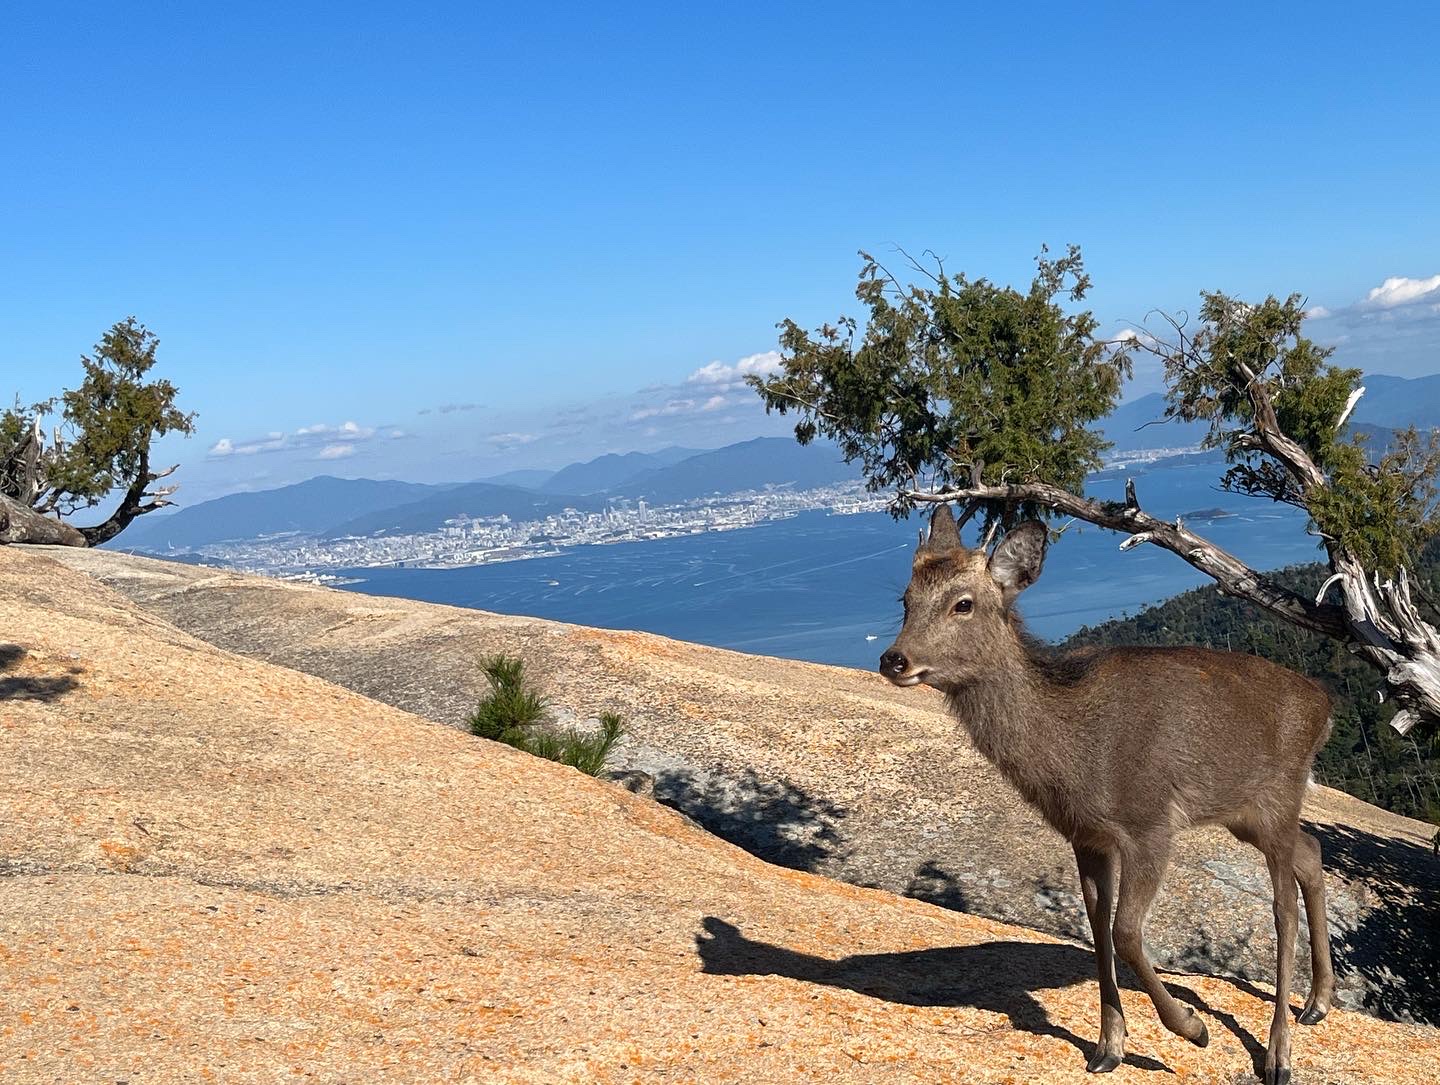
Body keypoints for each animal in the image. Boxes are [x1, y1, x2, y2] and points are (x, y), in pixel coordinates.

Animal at [875, 507, 1336, 1083]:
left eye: (964, 603)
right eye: (905, 599)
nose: (895, 659)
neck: (1075, 762)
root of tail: (1326, 707)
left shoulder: (1149, 823)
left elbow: (1127, 932)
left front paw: (1192, 1029)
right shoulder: (1086, 836)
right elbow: (1097, 929)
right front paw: (1107, 1048)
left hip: (1278, 796)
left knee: (1282, 906)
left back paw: (1278, 1054)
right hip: (1244, 811)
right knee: (1312, 853)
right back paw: (1318, 1003)